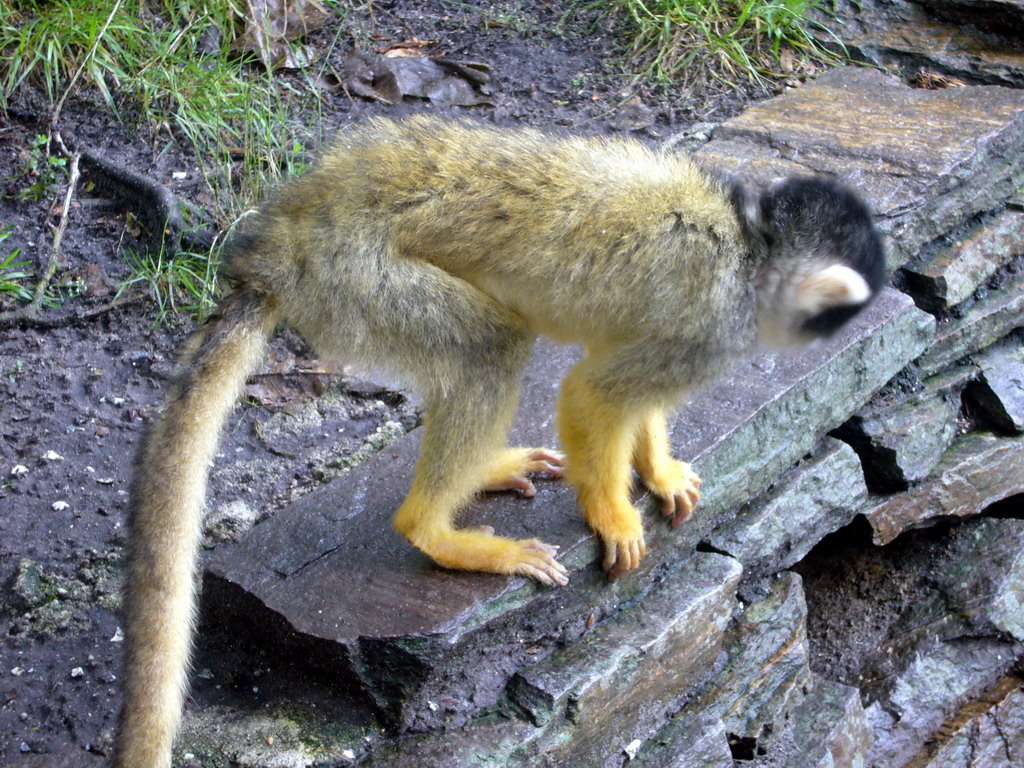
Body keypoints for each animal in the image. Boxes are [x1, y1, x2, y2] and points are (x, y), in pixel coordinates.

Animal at [116, 115, 884, 768]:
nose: (830, 337)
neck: (753, 248)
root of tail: (282, 237)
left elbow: (621, 380)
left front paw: (658, 469)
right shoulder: (710, 331)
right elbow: (594, 392)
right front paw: (613, 513)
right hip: (356, 277)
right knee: (488, 347)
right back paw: (434, 530)